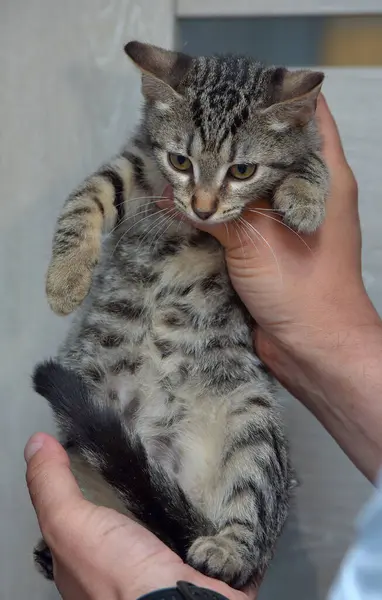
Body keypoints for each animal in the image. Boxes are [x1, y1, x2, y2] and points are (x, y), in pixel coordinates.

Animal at [33, 43, 328, 592]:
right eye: (180, 161)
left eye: (242, 171)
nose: (204, 208)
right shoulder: (139, 163)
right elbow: (87, 197)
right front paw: (65, 280)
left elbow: (312, 159)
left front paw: (304, 198)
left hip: (253, 420)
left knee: (249, 511)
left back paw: (226, 551)